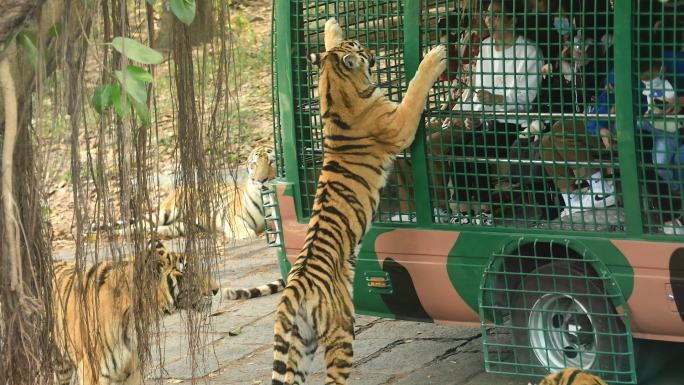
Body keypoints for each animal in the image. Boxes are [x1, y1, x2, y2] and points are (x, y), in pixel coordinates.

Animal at [125, 144, 276, 238]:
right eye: (255, 164)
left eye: (272, 162)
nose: (261, 179)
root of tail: (182, 186)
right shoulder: (234, 215)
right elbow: (239, 225)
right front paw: (245, 234)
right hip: (167, 211)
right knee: (139, 223)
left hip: (186, 225)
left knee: (165, 228)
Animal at [272, 18, 448, 384]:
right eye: (359, 48)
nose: (370, 49)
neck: (335, 88)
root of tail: (293, 290)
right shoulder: (400, 125)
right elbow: (414, 89)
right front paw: (434, 57)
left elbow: (327, 46)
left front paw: (329, 26)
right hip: (340, 331)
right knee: (333, 378)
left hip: (298, 346)